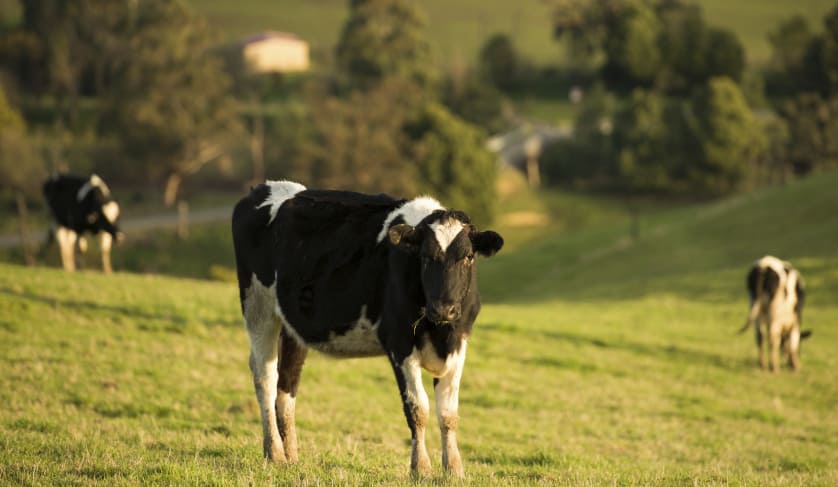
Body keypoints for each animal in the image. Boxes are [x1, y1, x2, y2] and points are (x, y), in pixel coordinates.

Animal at [231, 181, 506, 478]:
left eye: (467, 257)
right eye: (425, 257)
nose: (443, 309)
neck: (440, 331)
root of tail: (263, 187)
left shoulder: (459, 343)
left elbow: (448, 413)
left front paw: (453, 469)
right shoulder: (399, 342)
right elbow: (417, 408)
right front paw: (420, 468)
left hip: (291, 324)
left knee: (287, 382)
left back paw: (291, 456)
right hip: (258, 308)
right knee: (265, 377)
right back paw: (275, 453)